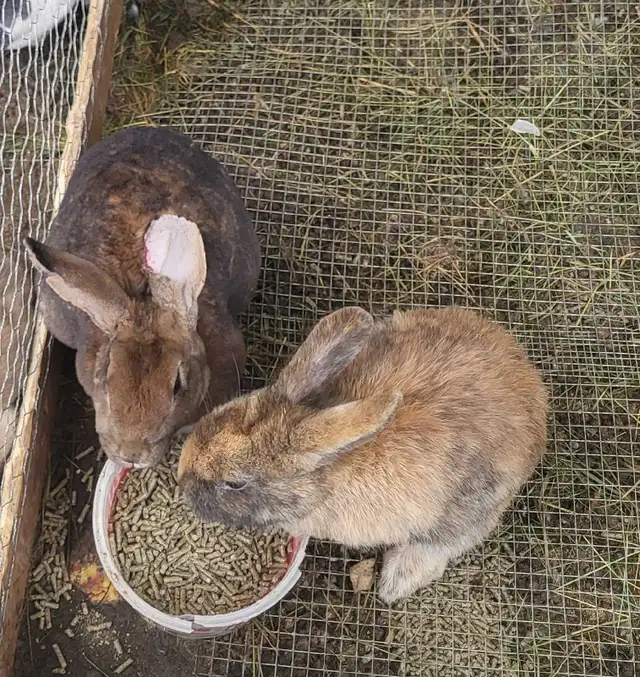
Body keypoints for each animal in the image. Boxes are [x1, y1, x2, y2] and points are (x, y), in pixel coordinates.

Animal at [178, 306, 548, 603]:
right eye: (217, 414)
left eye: (235, 483)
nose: (181, 477)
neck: (329, 469)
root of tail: (533, 386)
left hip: (470, 509)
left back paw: (395, 583)